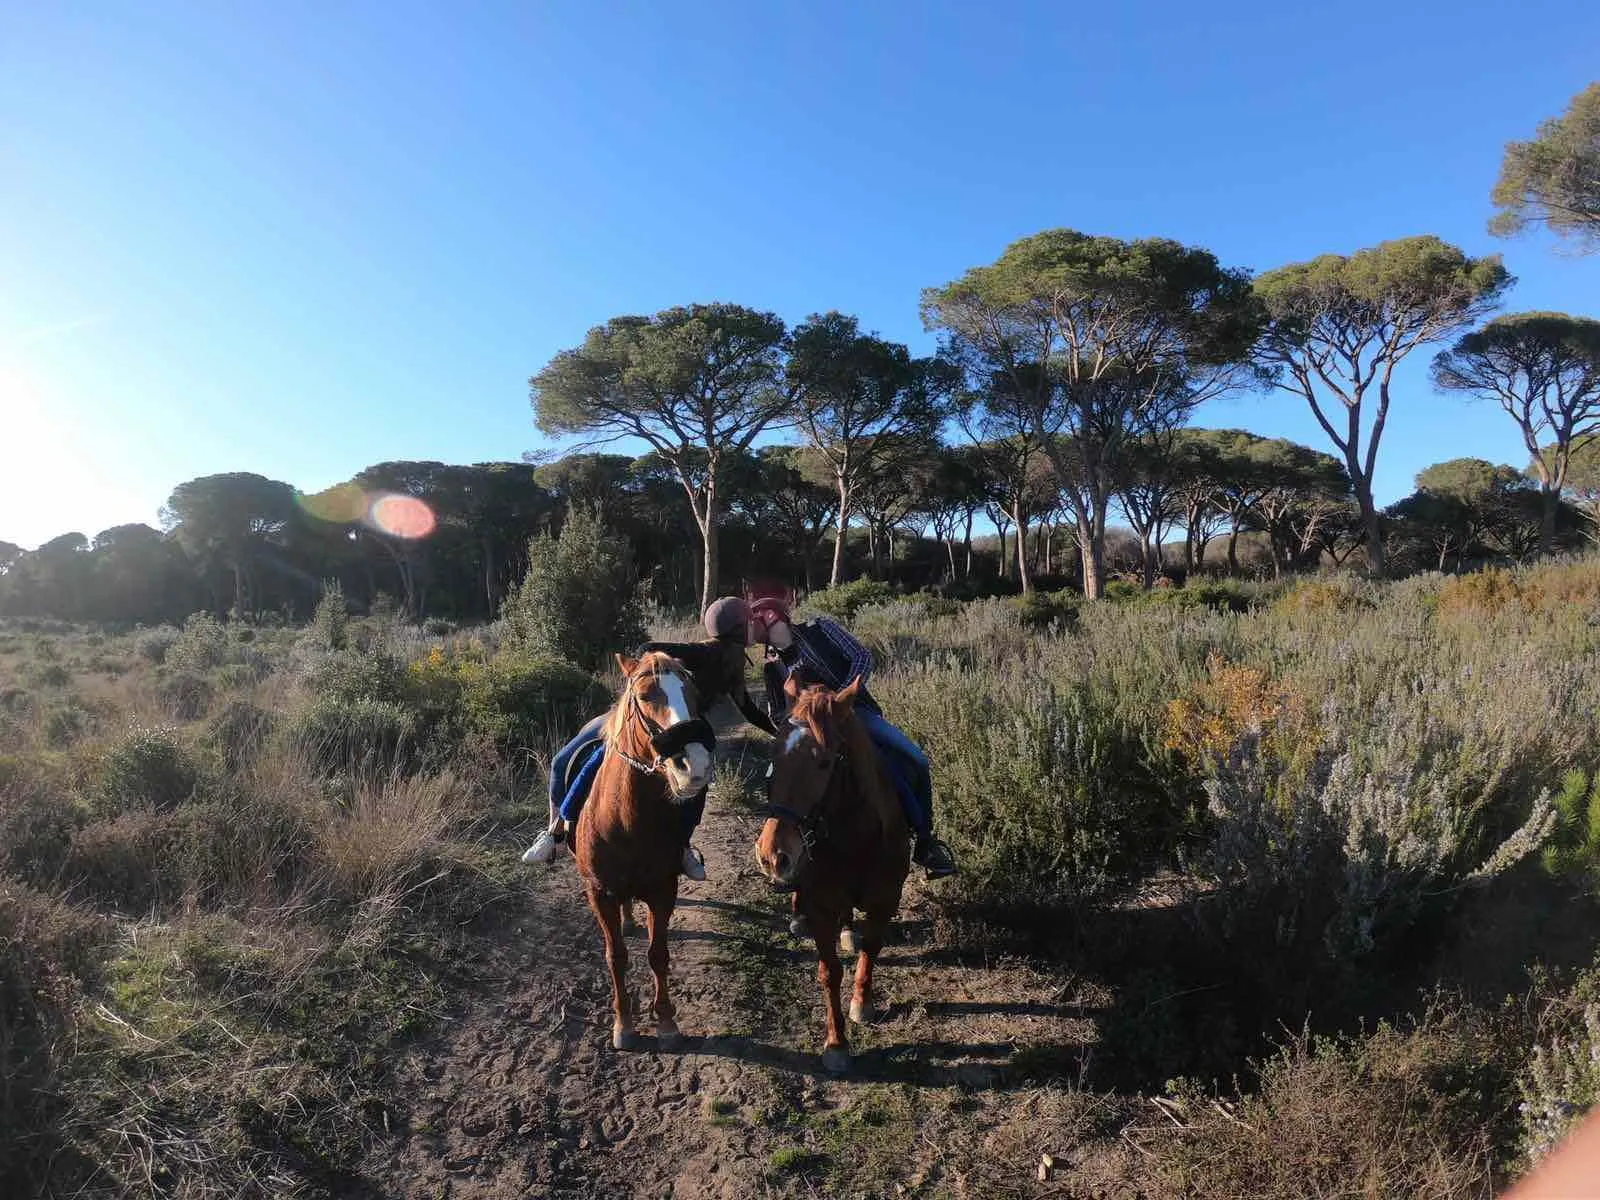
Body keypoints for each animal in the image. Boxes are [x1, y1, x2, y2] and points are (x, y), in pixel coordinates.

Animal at [574, 650, 715, 1051]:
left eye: (695, 694)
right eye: (645, 695)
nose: (695, 765)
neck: (624, 820)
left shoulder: (663, 890)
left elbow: (658, 955)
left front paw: (666, 1022)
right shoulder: (600, 893)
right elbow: (617, 957)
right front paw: (623, 1024)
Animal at [753, 674, 910, 1073]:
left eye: (824, 763)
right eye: (774, 756)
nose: (772, 856)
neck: (854, 836)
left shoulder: (886, 899)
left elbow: (871, 948)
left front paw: (862, 1003)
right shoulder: (821, 905)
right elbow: (829, 972)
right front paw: (836, 1043)